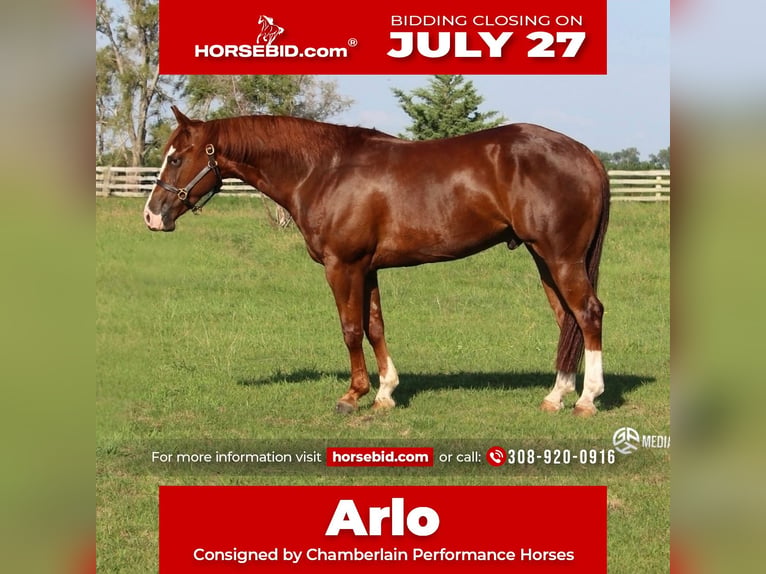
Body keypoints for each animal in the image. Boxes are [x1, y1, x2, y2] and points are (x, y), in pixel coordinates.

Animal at [144, 106, 610, 417]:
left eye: (176, 157)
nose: (152, 216)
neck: (324, 169)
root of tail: (586, 153)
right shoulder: (367, 268)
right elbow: (375, 326)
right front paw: (386, 393)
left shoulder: (343, 266)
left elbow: (351, 329)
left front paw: (353, 395)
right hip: (545, 259)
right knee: (566, 319)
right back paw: (556, 396)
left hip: (561, 258)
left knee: (588, 313)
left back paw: (587, 399)